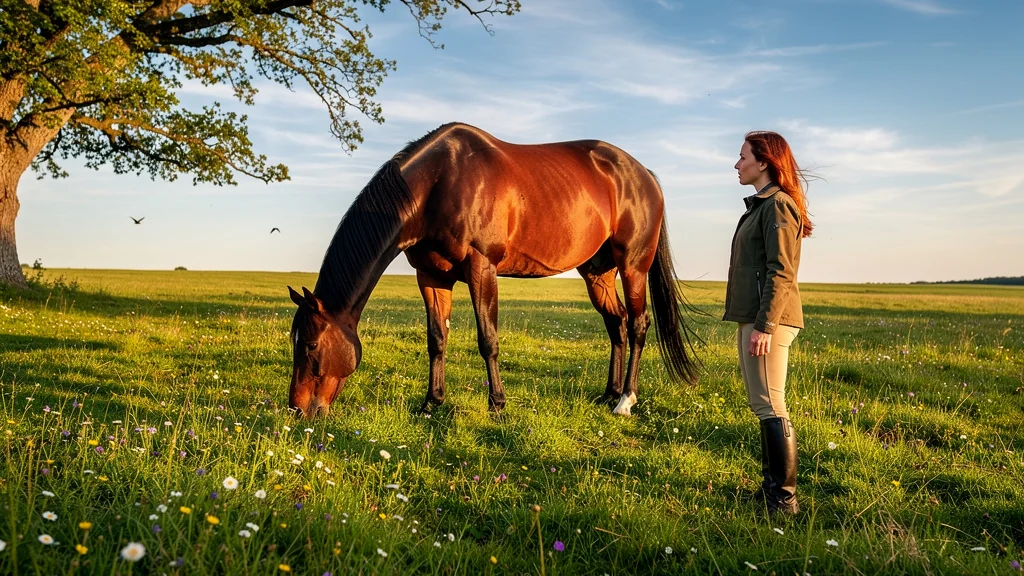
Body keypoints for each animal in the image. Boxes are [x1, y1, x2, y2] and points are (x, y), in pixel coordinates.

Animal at [287, 122, 699, 418]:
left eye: (310, 345)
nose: (297, 410)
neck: (439, 182)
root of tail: (644, 174)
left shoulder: (481, 267)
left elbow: (488, 339)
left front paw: (498, 405)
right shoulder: (431, 276)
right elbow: (436, 339)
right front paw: (431, 403)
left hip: (633, 266)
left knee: (638, 324)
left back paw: (625, 400)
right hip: (597, 273)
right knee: (616, 323)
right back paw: (609, 393)